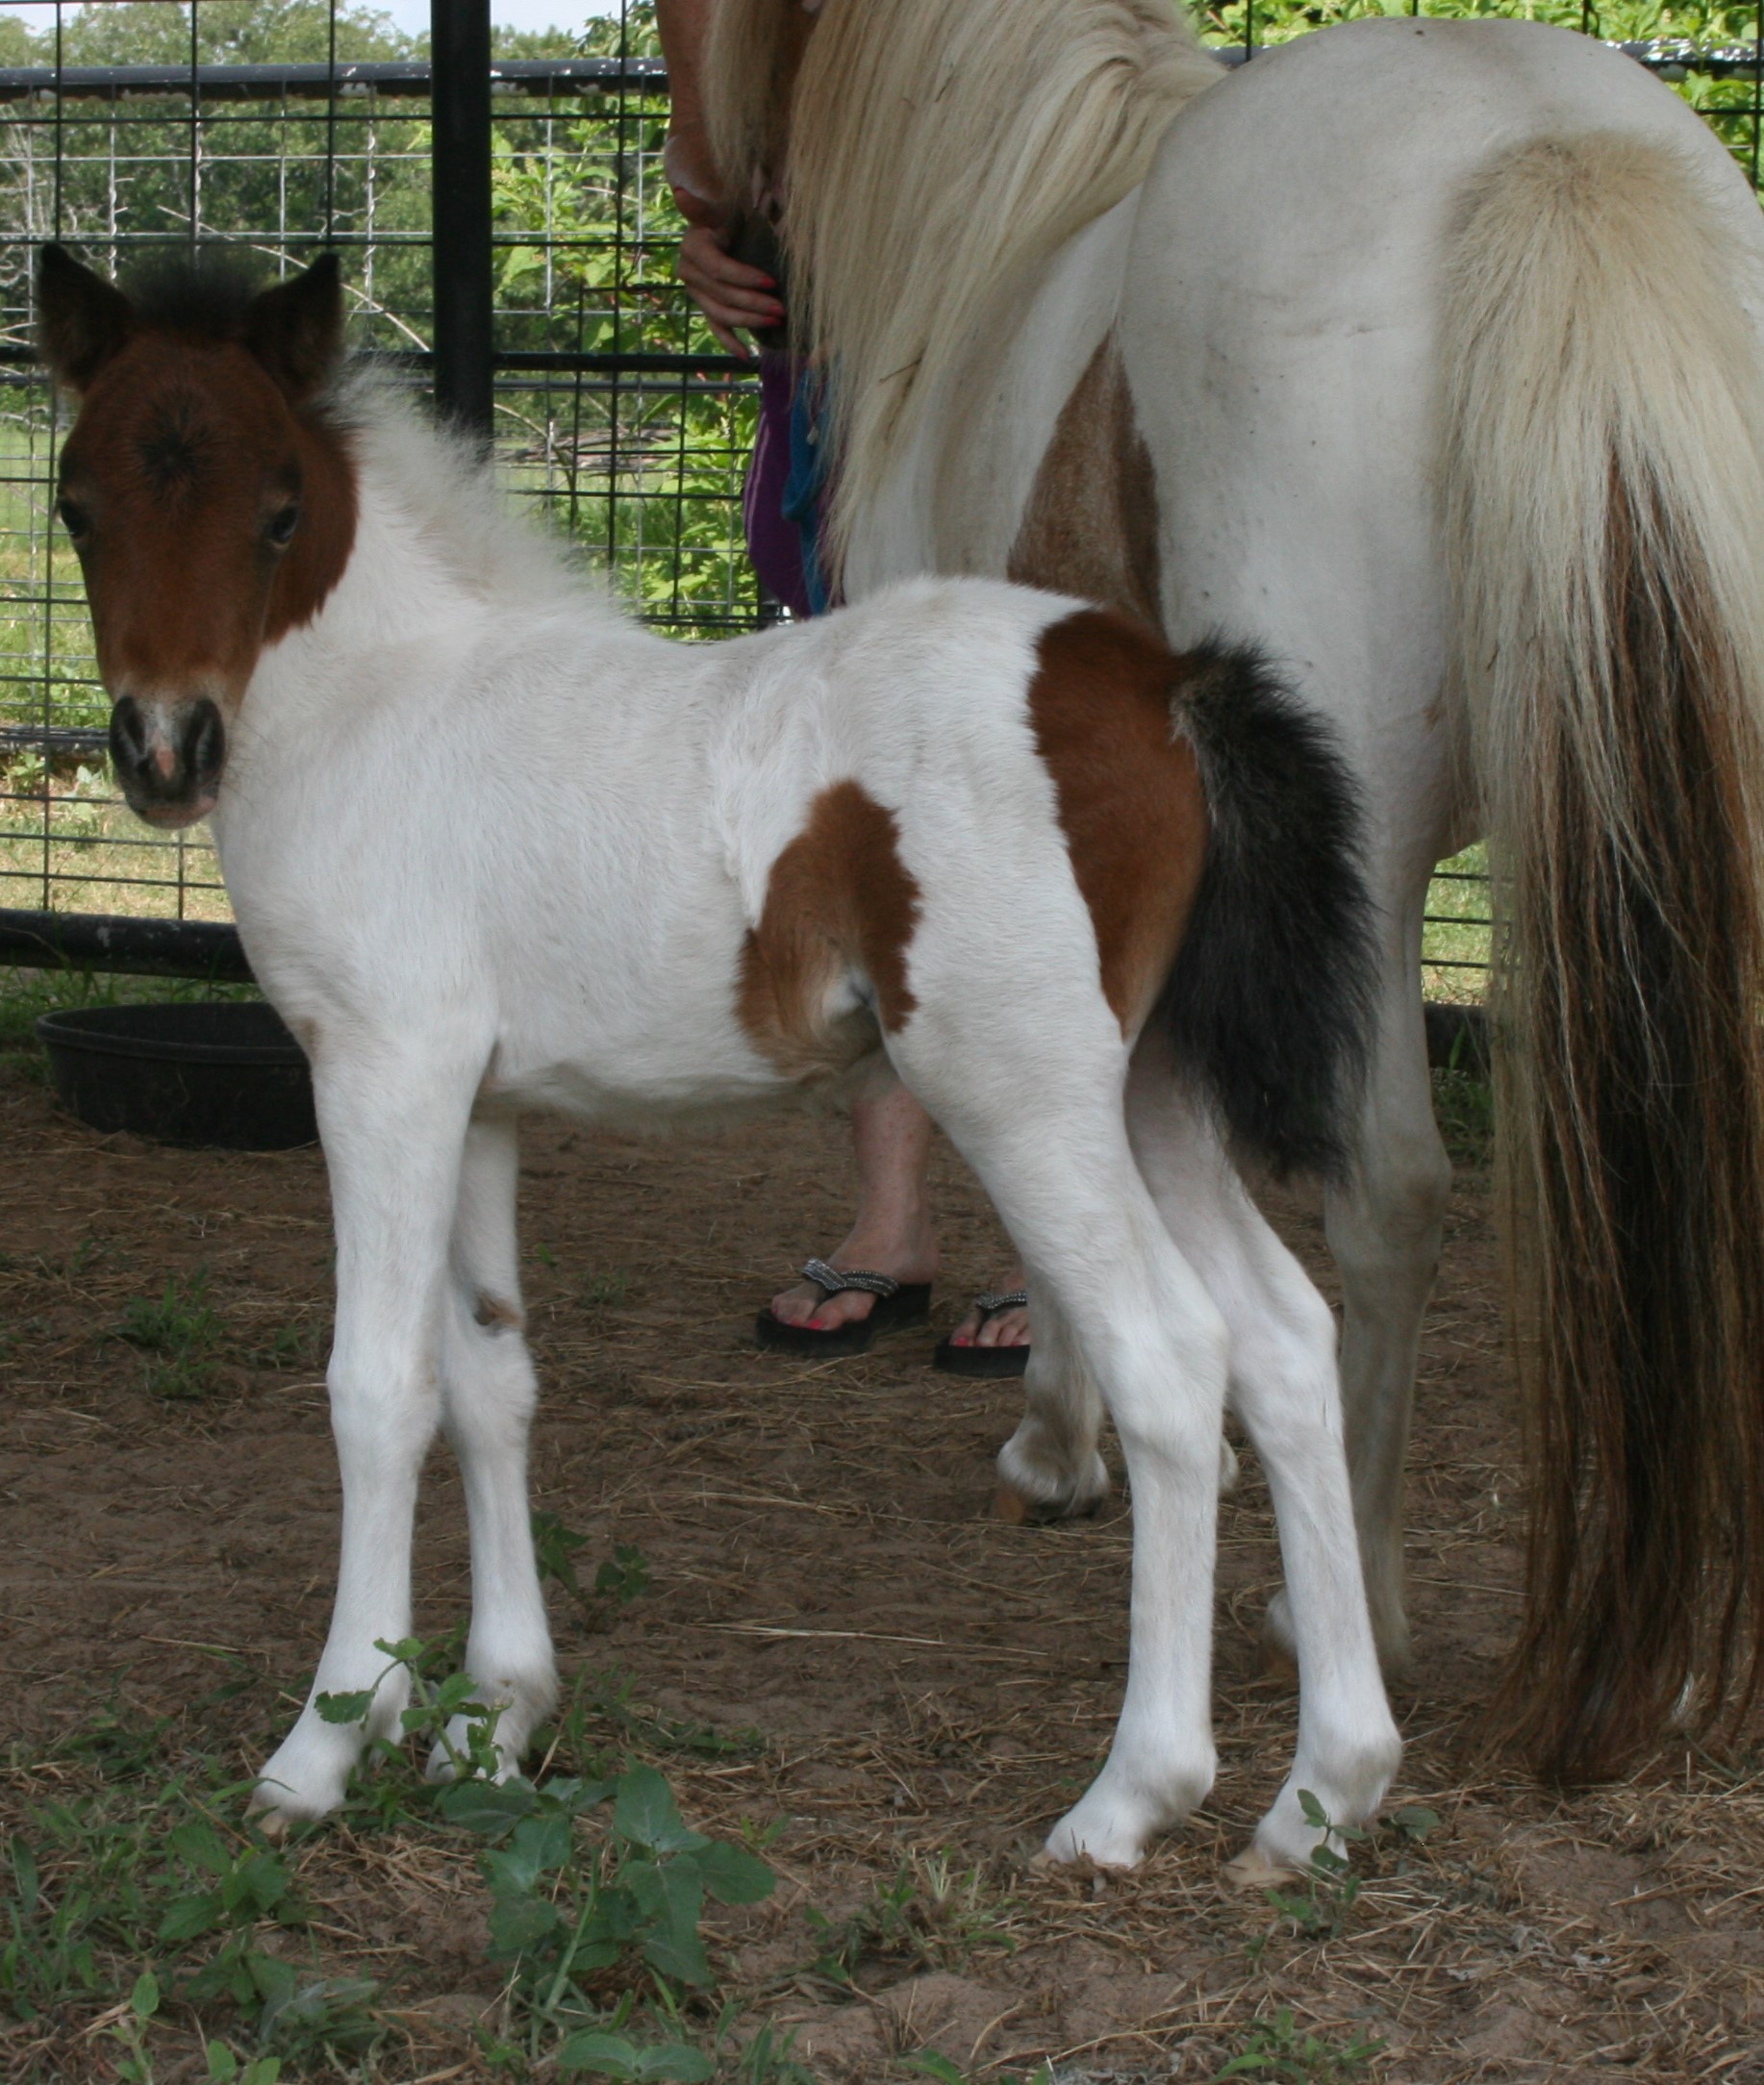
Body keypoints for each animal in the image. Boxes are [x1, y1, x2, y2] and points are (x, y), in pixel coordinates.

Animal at [36, 241, 1402, 1874]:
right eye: (77, 502)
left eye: (279, 511)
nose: (162, 749)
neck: (384, 709)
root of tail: (1164, 682)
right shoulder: (476, 1102)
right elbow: (489, 1377)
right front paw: (496, 1717)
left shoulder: (378, 1072)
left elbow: (378, 1388)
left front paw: (324, 1743)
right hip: (1153, 1095)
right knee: (1287, 1344)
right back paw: (1325, 1794)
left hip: (1025, 1096)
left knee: (1171, 1361)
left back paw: (1130, 1795)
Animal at [704, 0, 1764, 1782]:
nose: (717, 233)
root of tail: (1538, 140)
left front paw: (1058, 1441)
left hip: (1370, 863)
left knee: (1388, 1191)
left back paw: (1350, 1607)